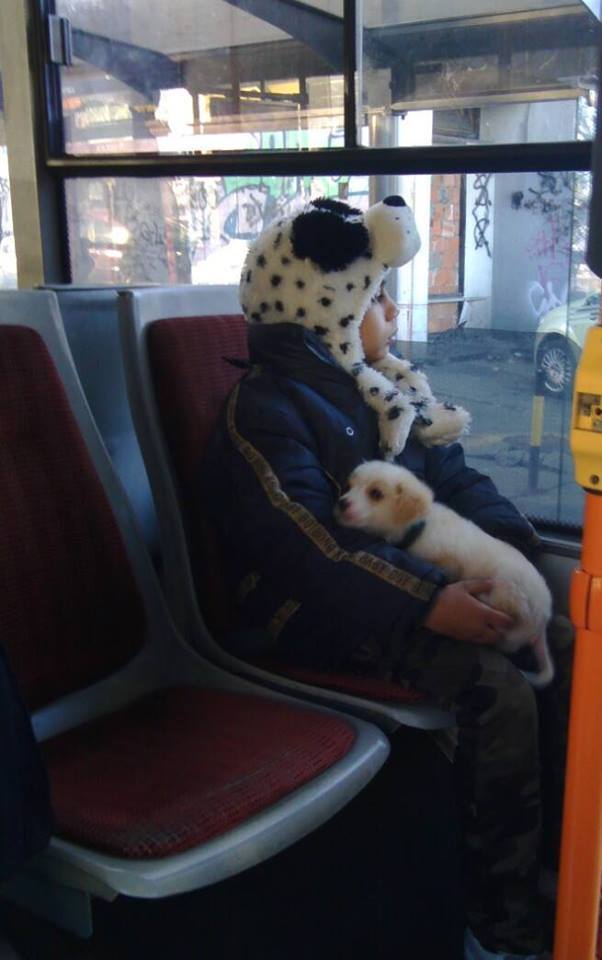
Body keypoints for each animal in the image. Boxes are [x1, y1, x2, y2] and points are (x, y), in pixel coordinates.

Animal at [336, 461, 554, 687]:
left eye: (375, 493)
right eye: (349, 486)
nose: (342, 503)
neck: (419, 527)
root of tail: (542, 622)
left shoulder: (449, 563)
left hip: (506, 600)